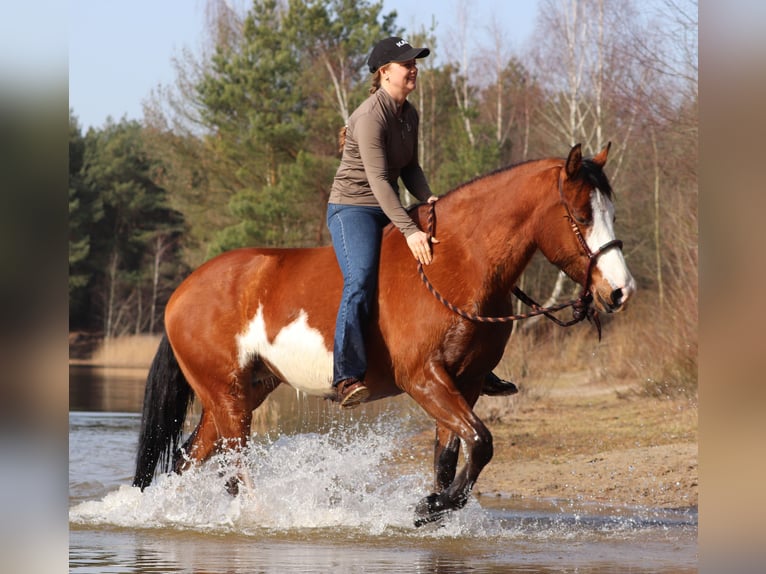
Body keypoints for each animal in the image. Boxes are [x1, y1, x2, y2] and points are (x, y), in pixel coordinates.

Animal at [132, 143, 636, 526]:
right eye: (581, 216)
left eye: (611, 211)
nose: (619, 291)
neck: (454, 263)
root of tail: (181, 293)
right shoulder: (424, 379)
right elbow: (481, 443)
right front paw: (430, 507)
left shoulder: (466, 383)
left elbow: (452, 456)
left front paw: (437, 508)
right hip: (229, 399)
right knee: (236, 468)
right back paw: (258, 518)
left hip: (242, 393)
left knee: (187, 459)